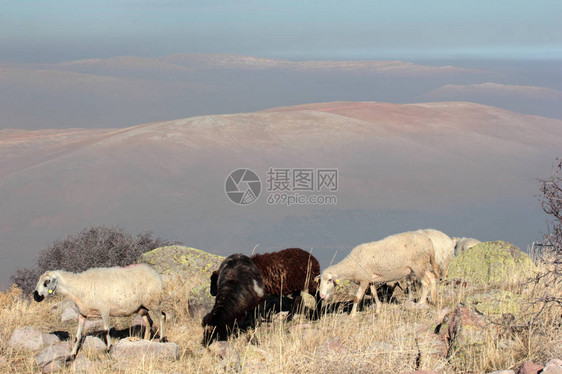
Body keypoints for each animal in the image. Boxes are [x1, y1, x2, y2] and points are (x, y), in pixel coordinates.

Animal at [32, 262, 165, 356]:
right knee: (149, 322)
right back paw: (146, 341)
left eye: (47, 282)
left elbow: (106, 331)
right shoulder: (82, 314)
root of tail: (155, 273)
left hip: (153, 302)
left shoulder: (104, 310)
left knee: (162, 316)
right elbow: (78, 336)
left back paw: (162, 339)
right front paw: (72, 355)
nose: (36, 296)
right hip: (142, 308)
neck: (78, 287)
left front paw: (109, 348)